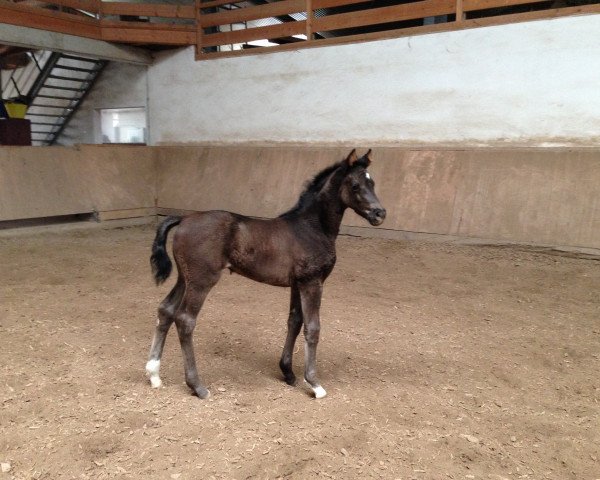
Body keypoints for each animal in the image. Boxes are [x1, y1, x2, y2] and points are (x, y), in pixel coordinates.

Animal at [148, 148, 386, 400]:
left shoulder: (297, 283)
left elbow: (295, 321)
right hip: (201, 281)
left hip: (185, 278)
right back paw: (197, 386)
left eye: (372, 182)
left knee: (166, 310)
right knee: (185, 320)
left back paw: (154, 375)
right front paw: (314, 383)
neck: (311, 228)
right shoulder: (312, 282)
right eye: (355, 185)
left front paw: (288, 372)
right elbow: (313, 328)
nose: (380, 213)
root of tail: (184, 218)